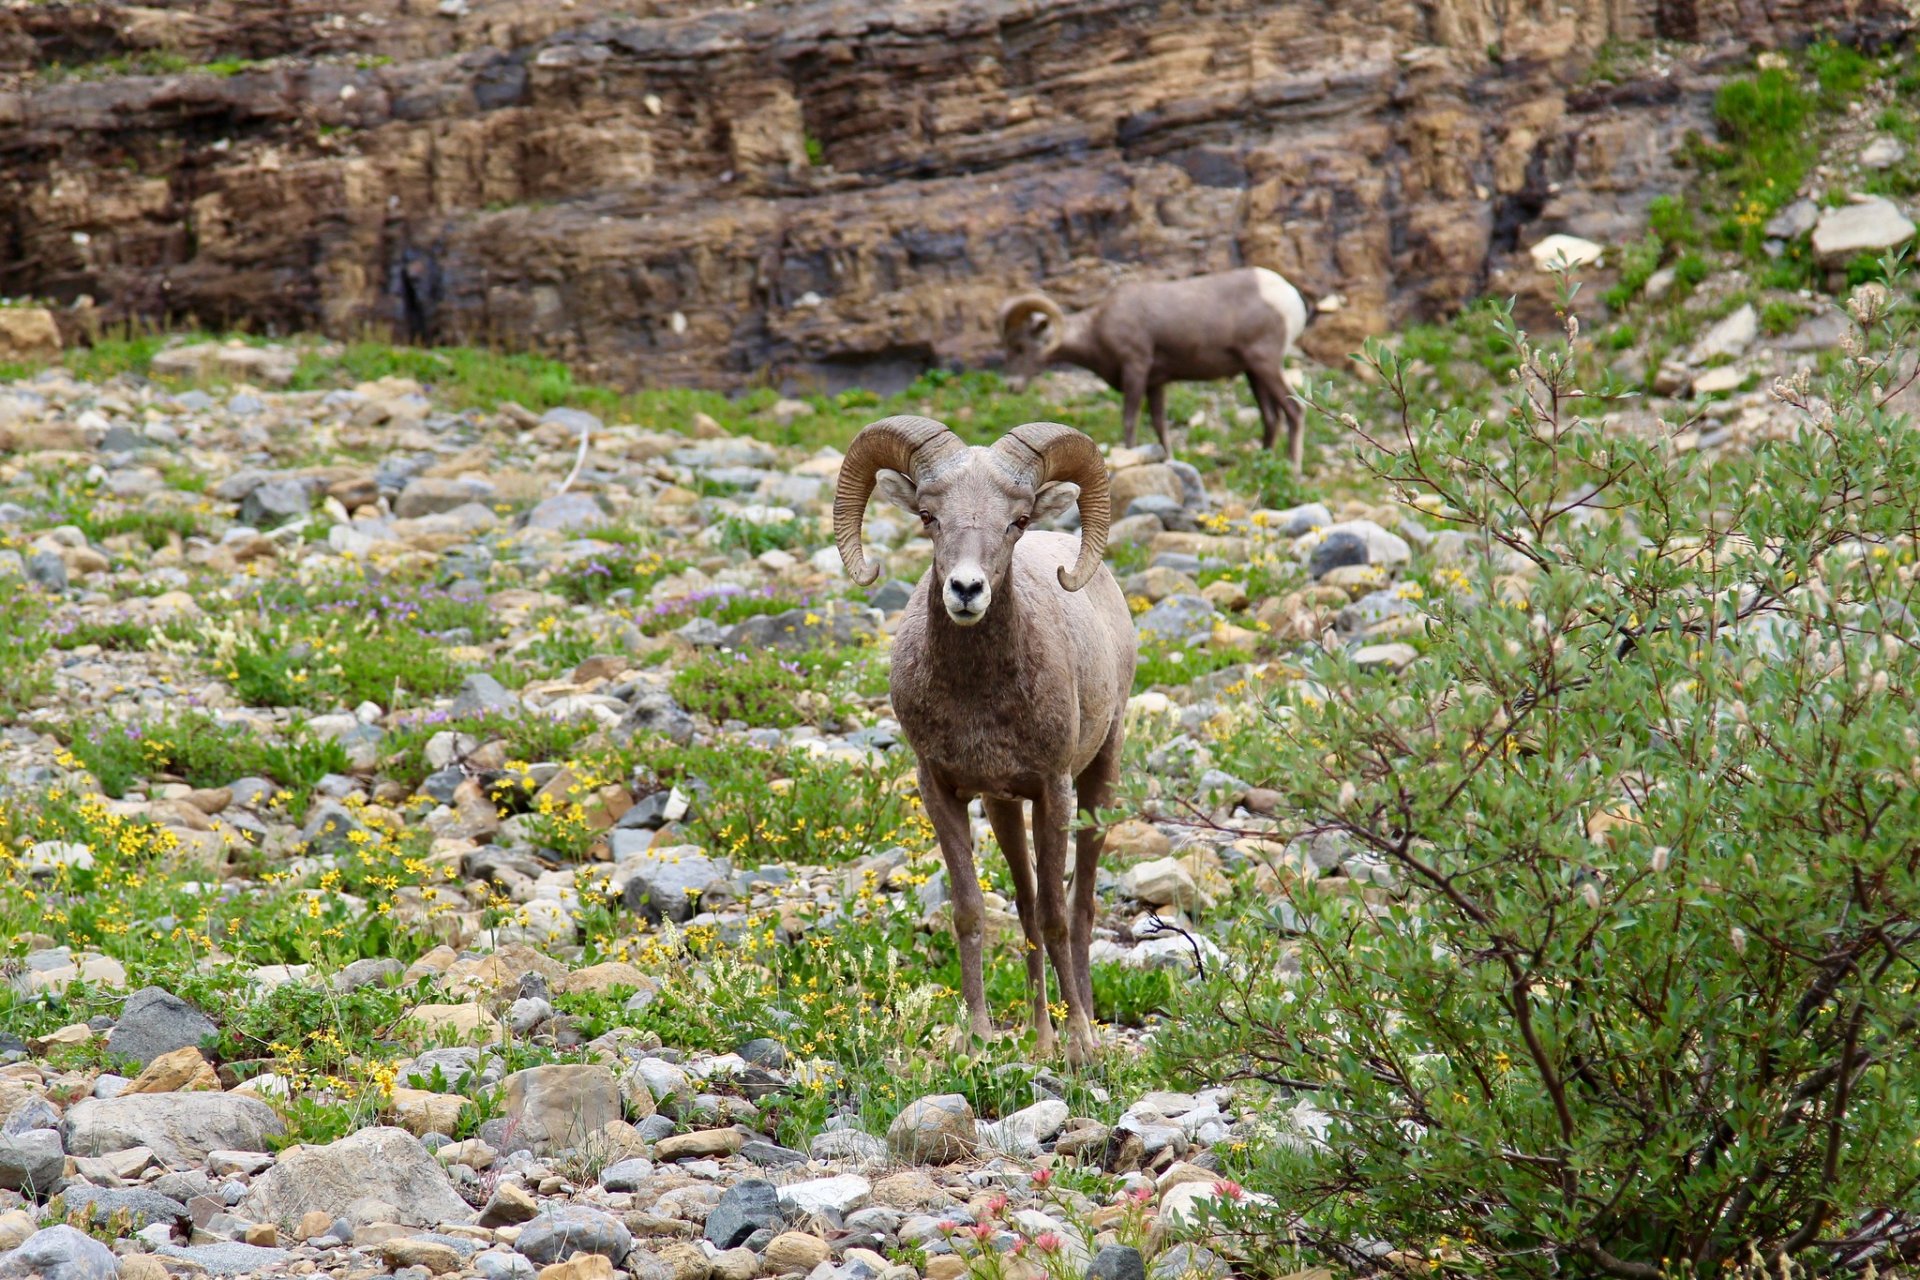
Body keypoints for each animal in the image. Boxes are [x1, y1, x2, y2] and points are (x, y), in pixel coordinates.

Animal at [833, 416, 1128, 1066]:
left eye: (1016, 520)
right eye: (928, 515)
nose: (965, 590)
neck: (978, 703)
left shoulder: (1053, 790)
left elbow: (1056, 917)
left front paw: (1079, 1044)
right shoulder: (943, 790)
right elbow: (971, 913)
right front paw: (978, 1039)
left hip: (1100, 777)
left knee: (1079, 906)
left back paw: (1086, 1030)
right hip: (1002, 808)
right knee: (1023, 905)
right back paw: (1040, 1039)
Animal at [998, 268, 1313, 468]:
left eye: (1021, 347)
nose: (1012, 386)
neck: (1098, 329)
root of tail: (1290, 297)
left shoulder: (1135, 370)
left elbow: (1130, 420)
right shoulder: (1156, 384)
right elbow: (1160, 424)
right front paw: (1169, 460)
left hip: (1266, 364)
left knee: (1295, 411)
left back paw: (1294, 470)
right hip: (1253, 373)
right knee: (1271, 418)